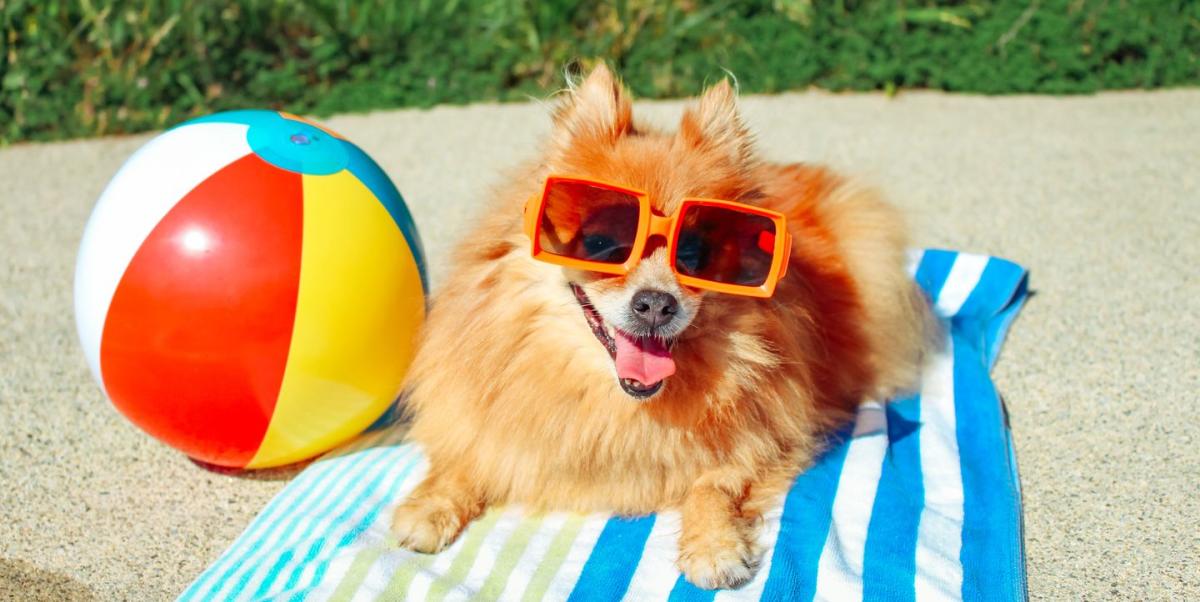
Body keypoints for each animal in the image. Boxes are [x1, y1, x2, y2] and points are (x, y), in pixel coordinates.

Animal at [388, 65, 931, 587]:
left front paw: (714, 545)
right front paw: (429, 505)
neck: (618, 405)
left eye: (692, 254)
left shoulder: (769, 438)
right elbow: (467, 451)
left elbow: (715, 482)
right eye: (602, 244)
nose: (655, 304)